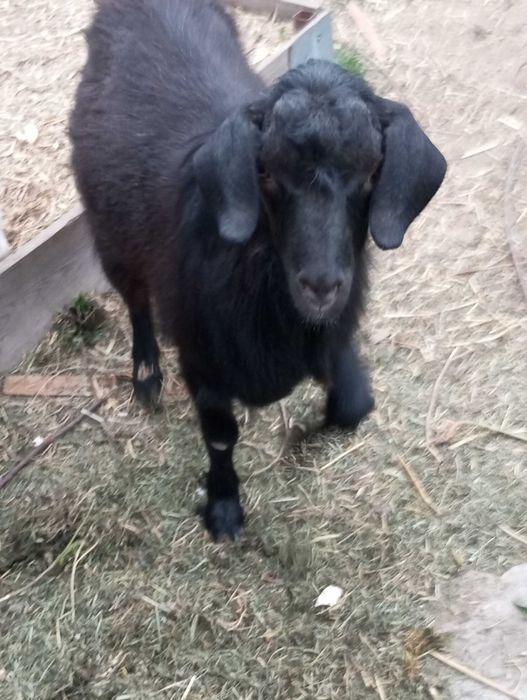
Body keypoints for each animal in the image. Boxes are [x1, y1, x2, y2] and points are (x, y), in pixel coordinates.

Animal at [70, 0, 447, 539]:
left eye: (372, 171)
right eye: (264, 171)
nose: (320, 286)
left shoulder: (331, 338)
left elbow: (354, 405)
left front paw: (304, 439)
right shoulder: (202, 356)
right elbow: (220, 435)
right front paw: (224, 507)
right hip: (111, 229)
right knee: (135, 297)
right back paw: (146, 375)